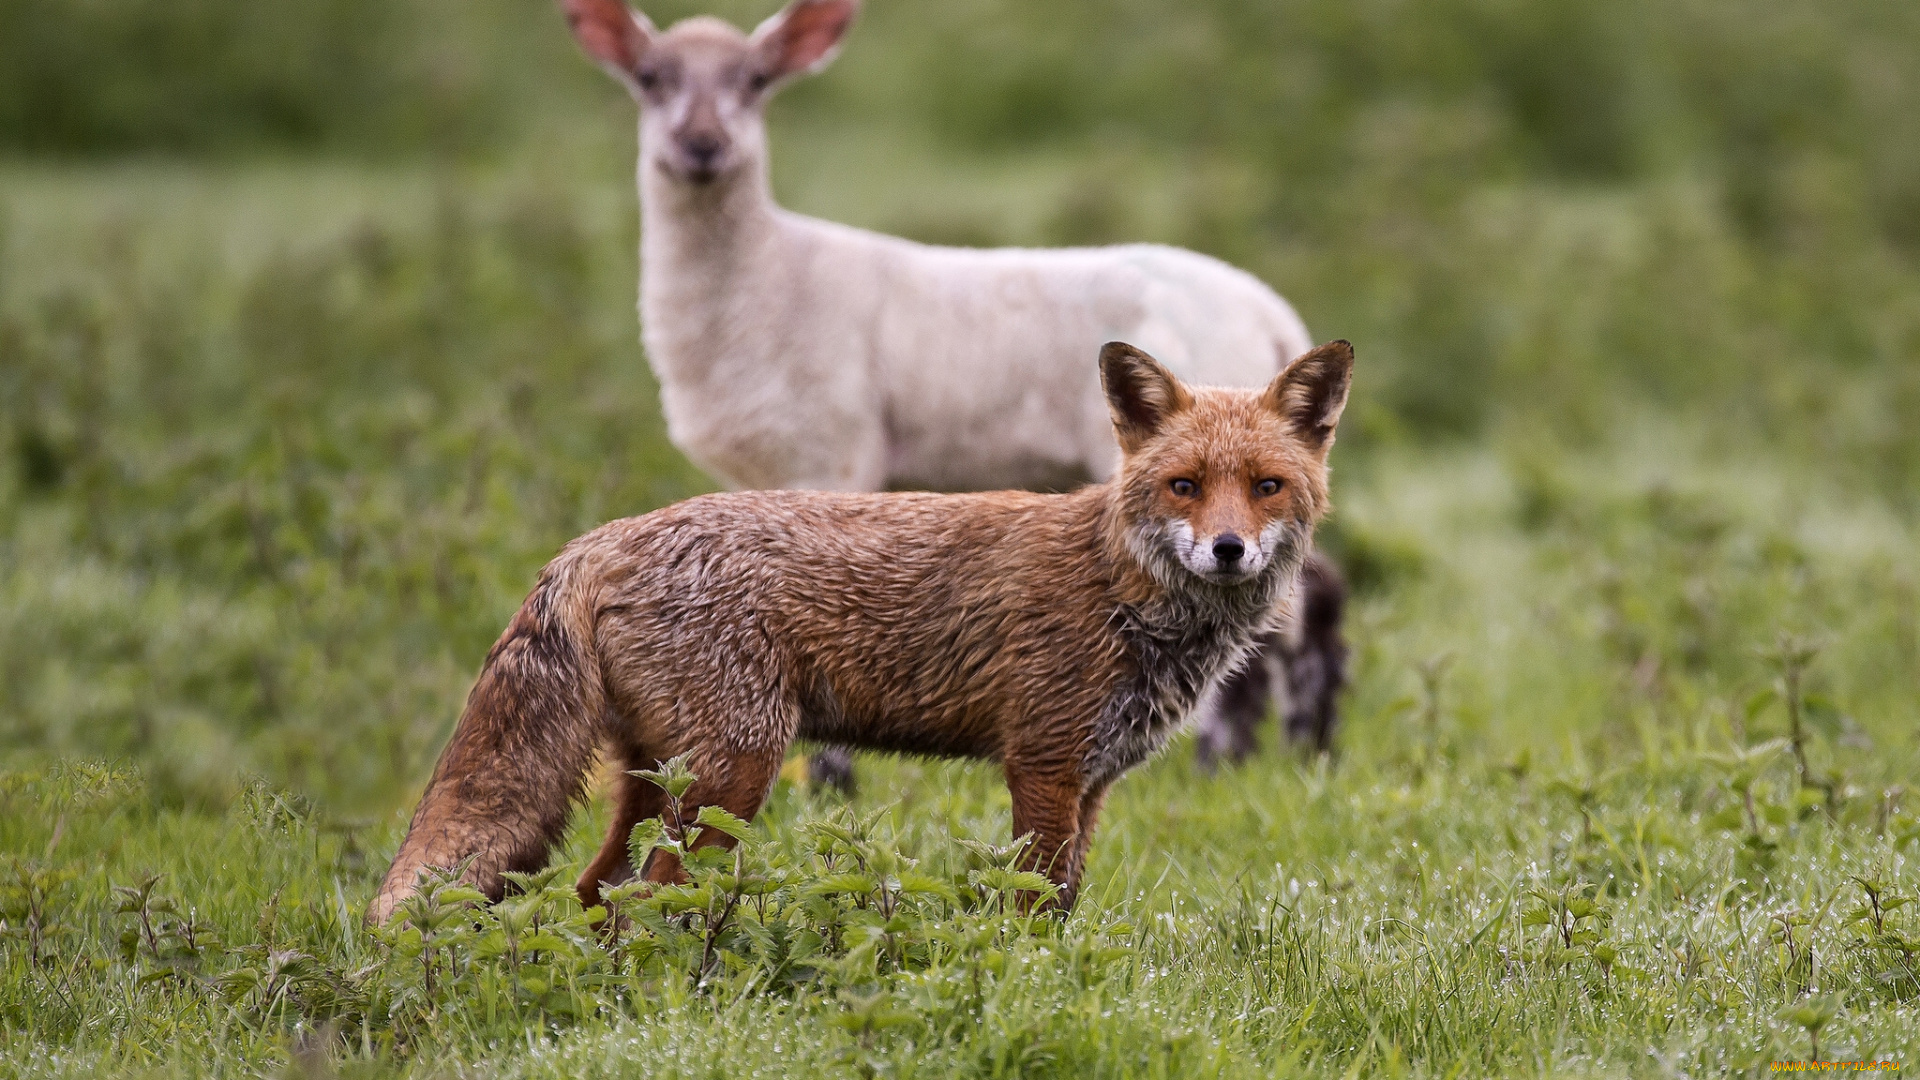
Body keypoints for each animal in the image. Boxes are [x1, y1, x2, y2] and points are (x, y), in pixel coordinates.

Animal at [360, 340, 1351, 922]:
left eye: (1265, 487)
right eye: (1185, 486)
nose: (1228, 550)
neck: (1123, 588)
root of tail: (595, 539)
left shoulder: (1092, 782)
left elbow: (1066, 903)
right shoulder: (1043, 766)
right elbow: (1031, 909)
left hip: (659, 781)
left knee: (595, 889)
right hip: (733, 775)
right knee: (649, 898)